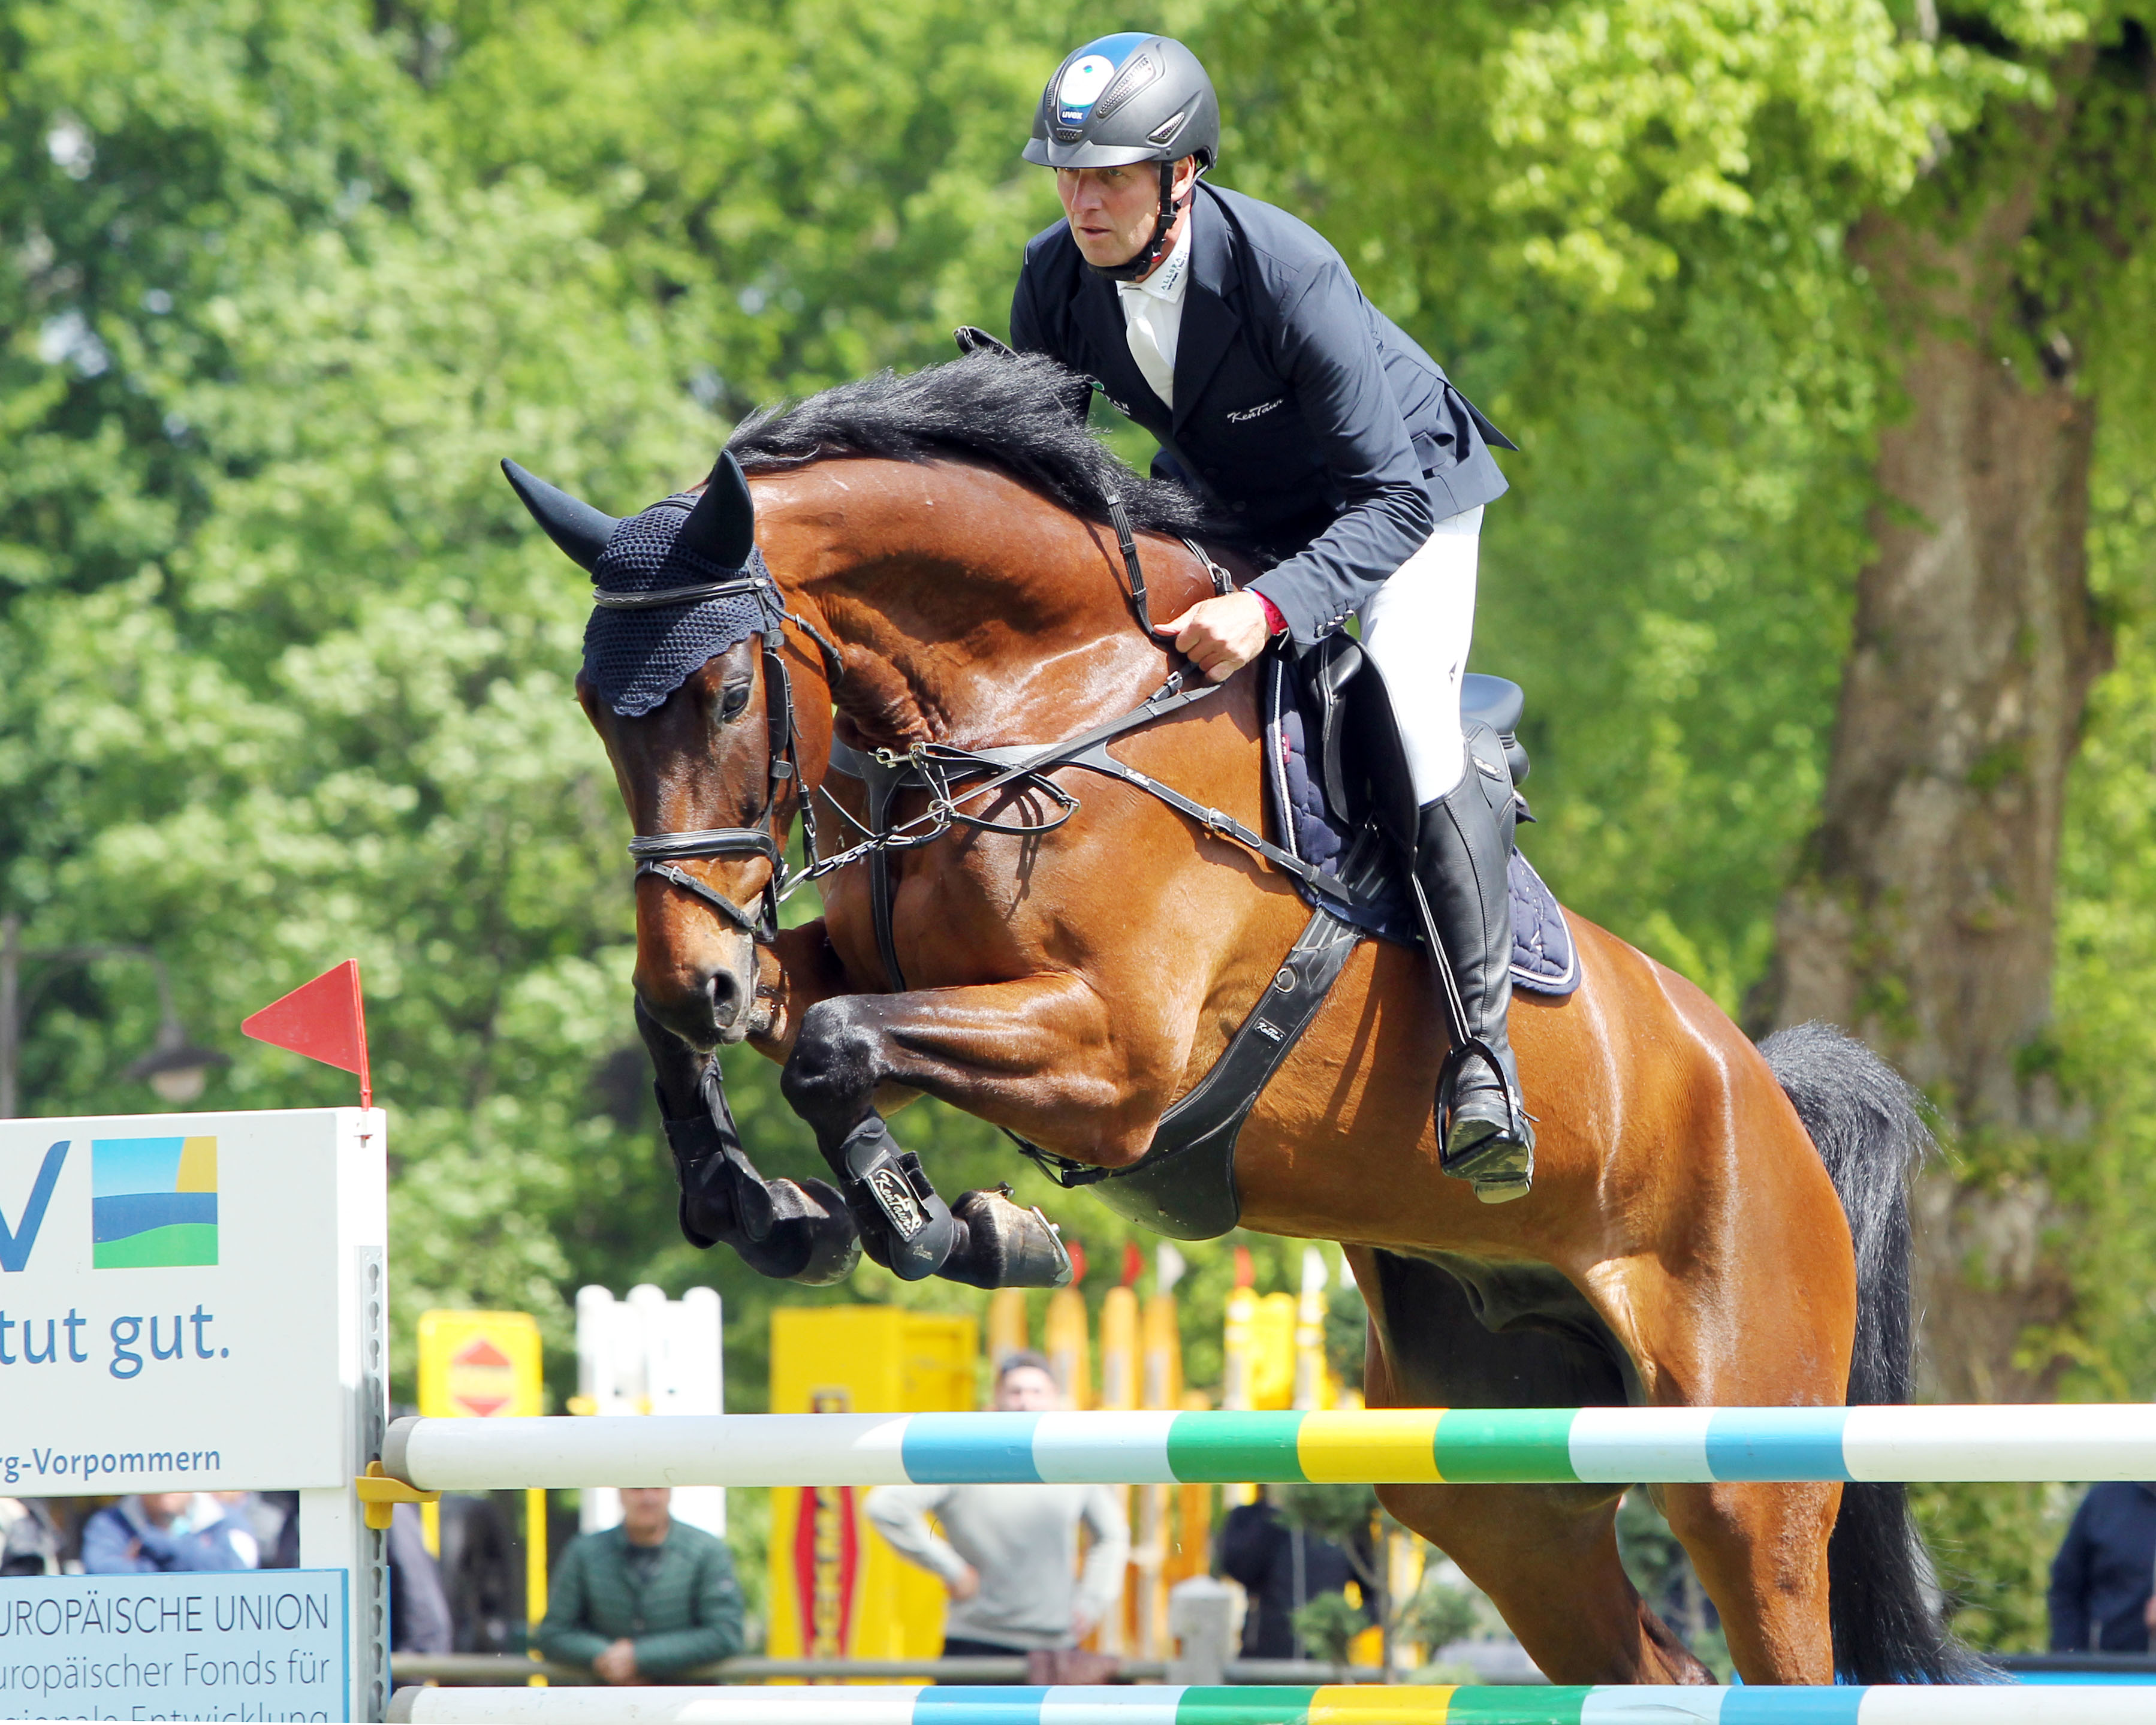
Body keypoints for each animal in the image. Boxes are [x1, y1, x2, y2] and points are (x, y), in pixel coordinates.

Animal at [517, 347, 1974, 1682]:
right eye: (594, 709)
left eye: (724, 692)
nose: (693, 972)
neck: (1049, 701)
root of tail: (1765, 1095)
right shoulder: (870, 966)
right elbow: (742, 1026)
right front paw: (768, 1206)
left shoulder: (1118, 1056)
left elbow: (836, 1048)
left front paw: (943, 1221)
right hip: (1497, 1486)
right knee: (1638, 1654)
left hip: (1740, 1469)